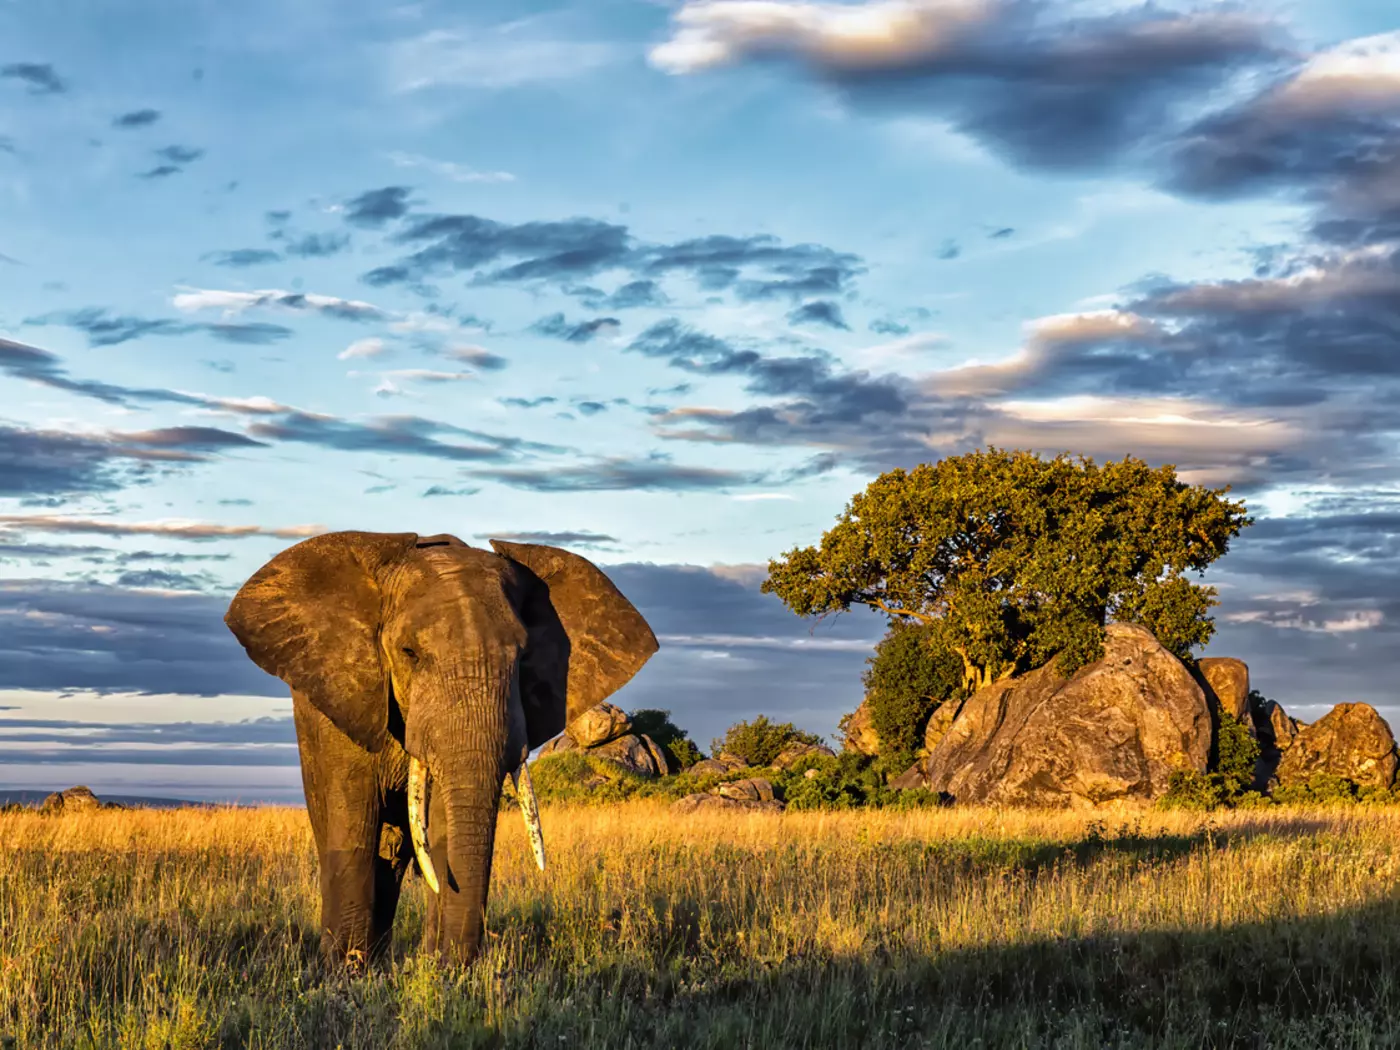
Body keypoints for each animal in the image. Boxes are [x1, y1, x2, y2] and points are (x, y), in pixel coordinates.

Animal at [223, 530, 658, 966]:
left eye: (523, 657)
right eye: (409, 653)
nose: (459, 961)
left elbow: (443, 820)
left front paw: (438, 969)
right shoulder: (344, 700)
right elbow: (352, 818)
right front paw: (347, 970)